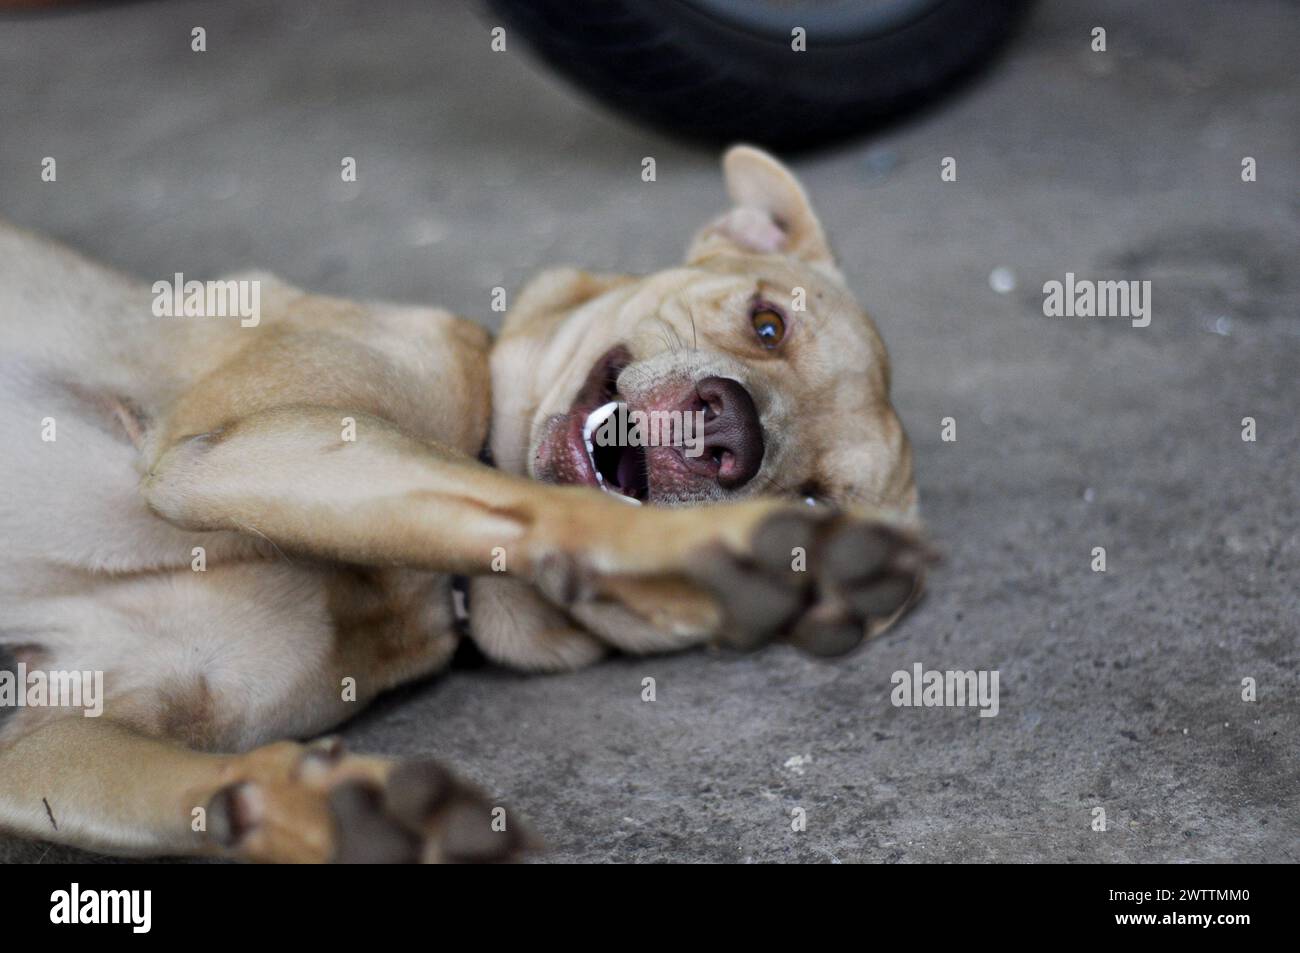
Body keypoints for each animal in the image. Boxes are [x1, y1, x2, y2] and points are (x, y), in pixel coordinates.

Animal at [2, 143, 935, 863]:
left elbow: (205, 790)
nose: (727, 433)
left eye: (818, 494)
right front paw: (725, 546)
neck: (424, 593)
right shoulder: (228, 453)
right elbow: (534, 502)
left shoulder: (44, 739)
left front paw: (330, 816)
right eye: (769, 322)